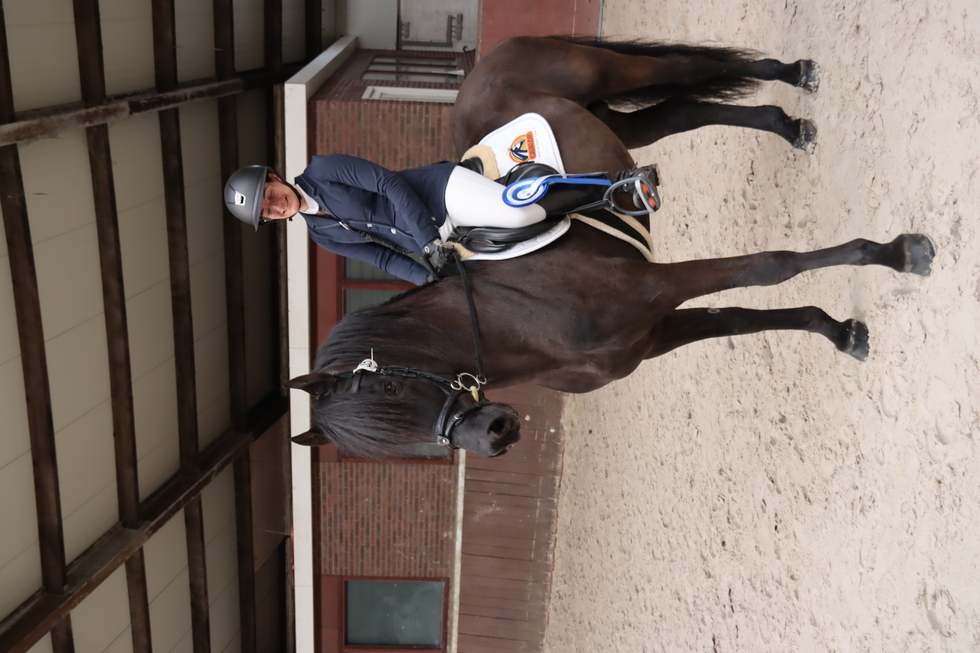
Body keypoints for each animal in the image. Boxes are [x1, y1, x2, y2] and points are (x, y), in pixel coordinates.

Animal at [286, 36, 936, 459]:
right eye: (389, 447)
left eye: (392, 389)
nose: (493, 435)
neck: (521, 321)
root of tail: (484, 61)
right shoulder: (653, 333)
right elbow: (742, 318)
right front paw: (840, 332)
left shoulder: (659, 287)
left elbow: (767, 268)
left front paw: (899, 253)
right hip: (613, 121)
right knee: (681, 108)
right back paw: (788, 124)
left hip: (606, 74)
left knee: (680, 68)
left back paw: (797, 72)